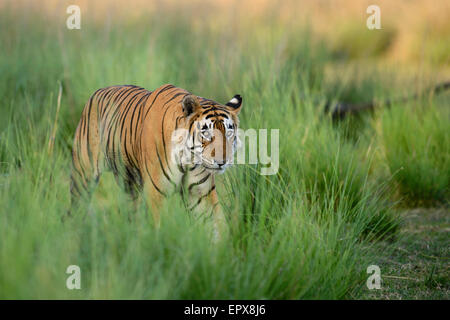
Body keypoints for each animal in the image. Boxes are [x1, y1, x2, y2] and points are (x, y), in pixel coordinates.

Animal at [70, 84, 243, 239]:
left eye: (228, 133)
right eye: (206, 133)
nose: (222, 161)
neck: (188, 158)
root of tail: (98, 92)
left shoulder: (201, 193)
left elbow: (216, 227)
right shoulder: (156, 192)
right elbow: (158, 227)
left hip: (129, 186)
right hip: (83, 177)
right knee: (75, 209)